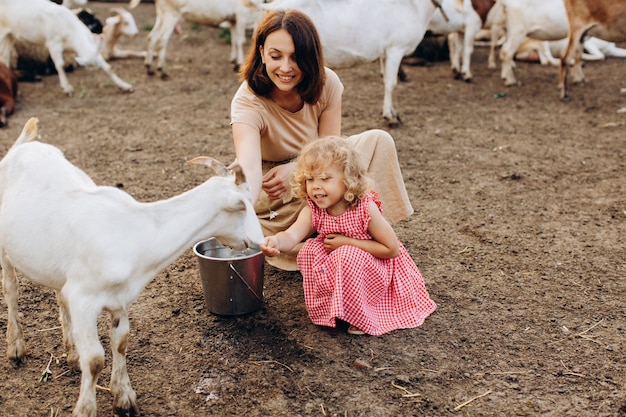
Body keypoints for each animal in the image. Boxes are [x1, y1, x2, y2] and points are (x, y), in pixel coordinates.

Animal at [0, 0, 132, 94]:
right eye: (92, 21)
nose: (101, 29)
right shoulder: (53, 44)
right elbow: (60, 65)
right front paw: (67, 87)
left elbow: (107, 67)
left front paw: (124, 85)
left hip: (10, 36)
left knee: (5, 58)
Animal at [0, 117, 264, 416]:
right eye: (245, 206)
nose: (257, 241)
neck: (137, 231)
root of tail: (23, 146)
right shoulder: (84, 299)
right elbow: (95, 360)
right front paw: (86, 408)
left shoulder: (119, 298)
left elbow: (121, 341)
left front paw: (124, 397)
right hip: (5, 247)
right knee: (11, 290)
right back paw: (16, 348)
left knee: (59, 296)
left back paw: (71, 353)